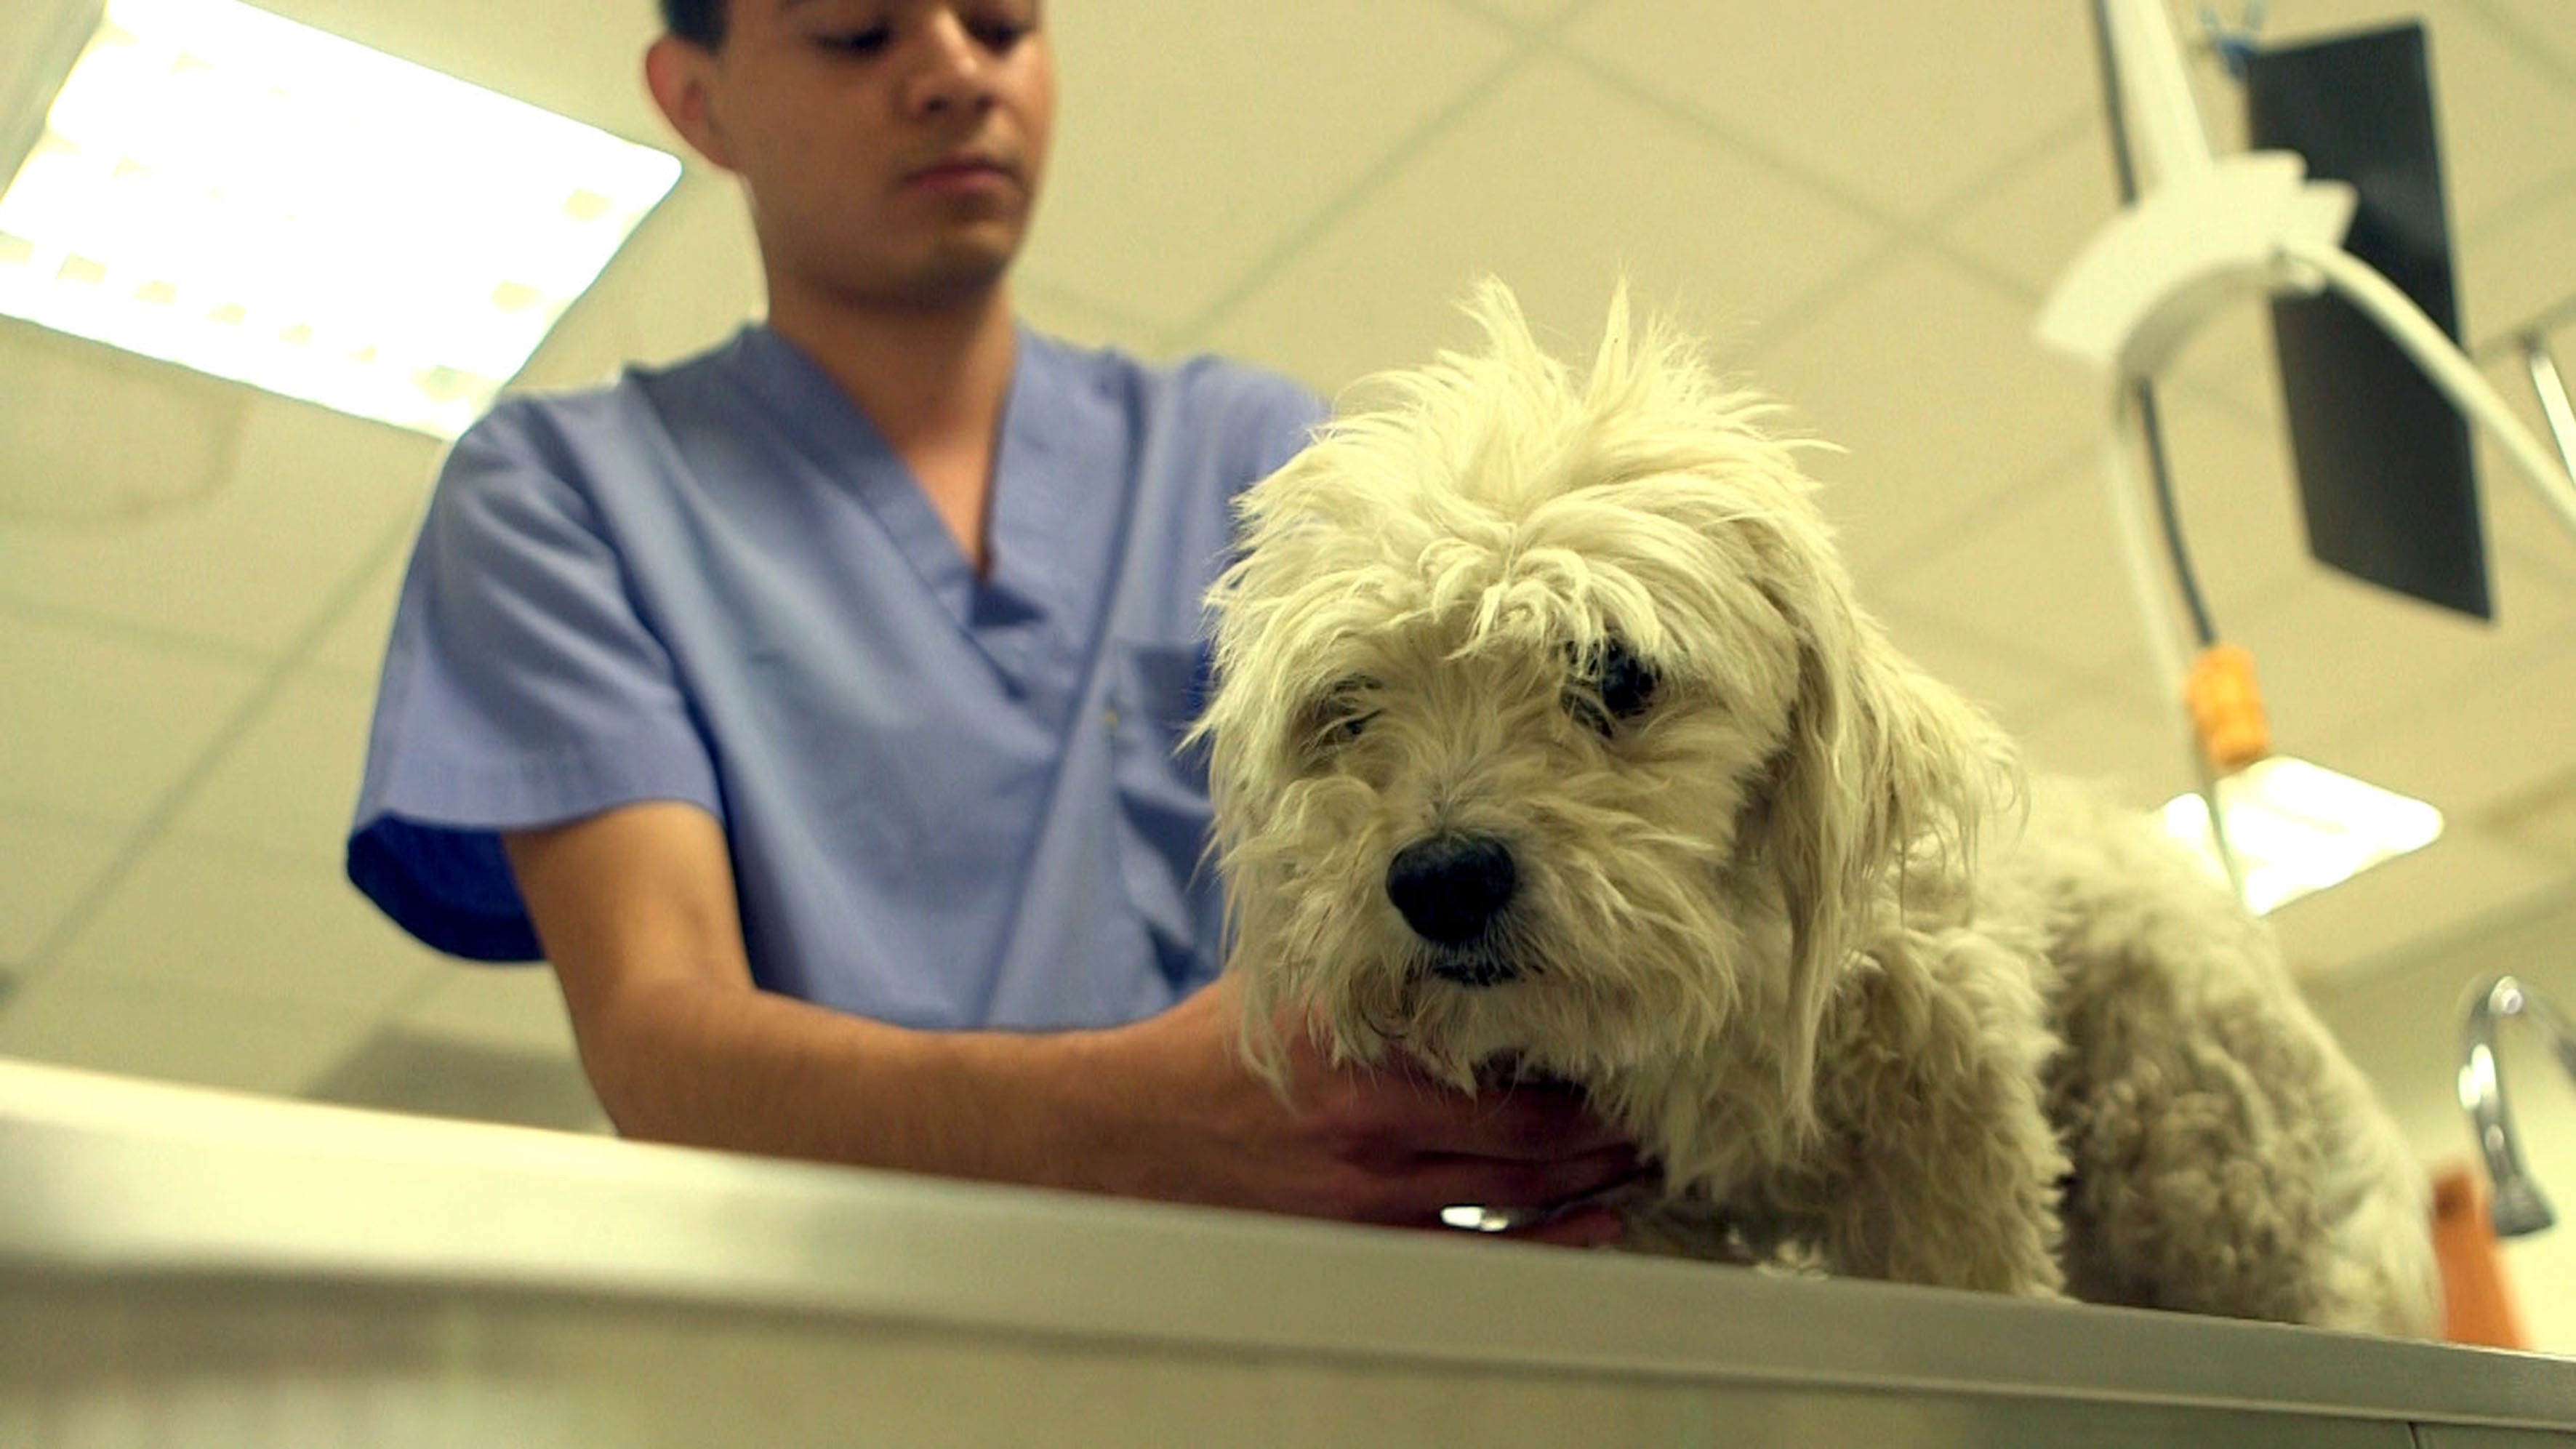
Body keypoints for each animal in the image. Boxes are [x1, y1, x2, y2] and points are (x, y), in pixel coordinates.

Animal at [1195, 283, 2441, 1338]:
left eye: (1613, 669)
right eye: (1349, 709)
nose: (1441, 878)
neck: (1717, 988)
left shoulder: (1946, 1137)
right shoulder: (1646, 1215)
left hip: (2202, 1166)